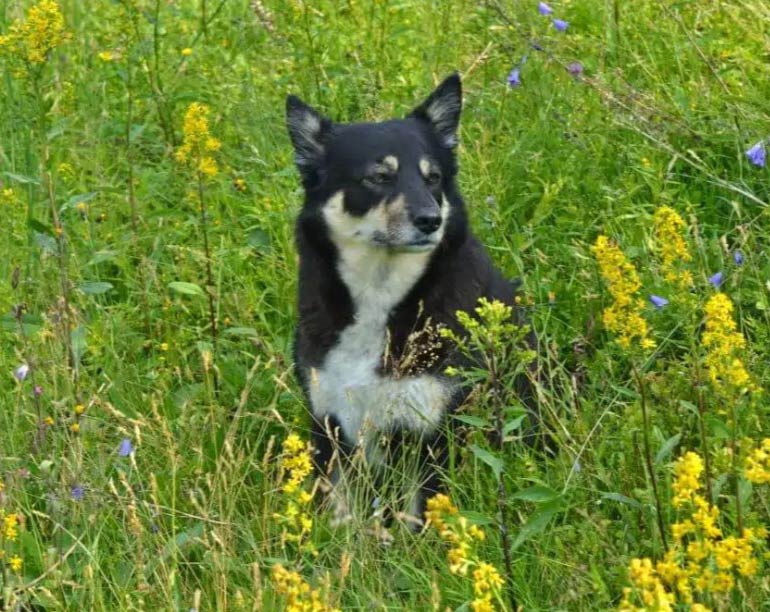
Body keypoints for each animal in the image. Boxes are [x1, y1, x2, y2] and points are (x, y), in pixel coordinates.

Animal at [284, 74, 532, 528]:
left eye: (433, 178)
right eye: (378, 177)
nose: (430, 220)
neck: (381, 299)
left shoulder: (431, 435)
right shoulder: (330, 424)